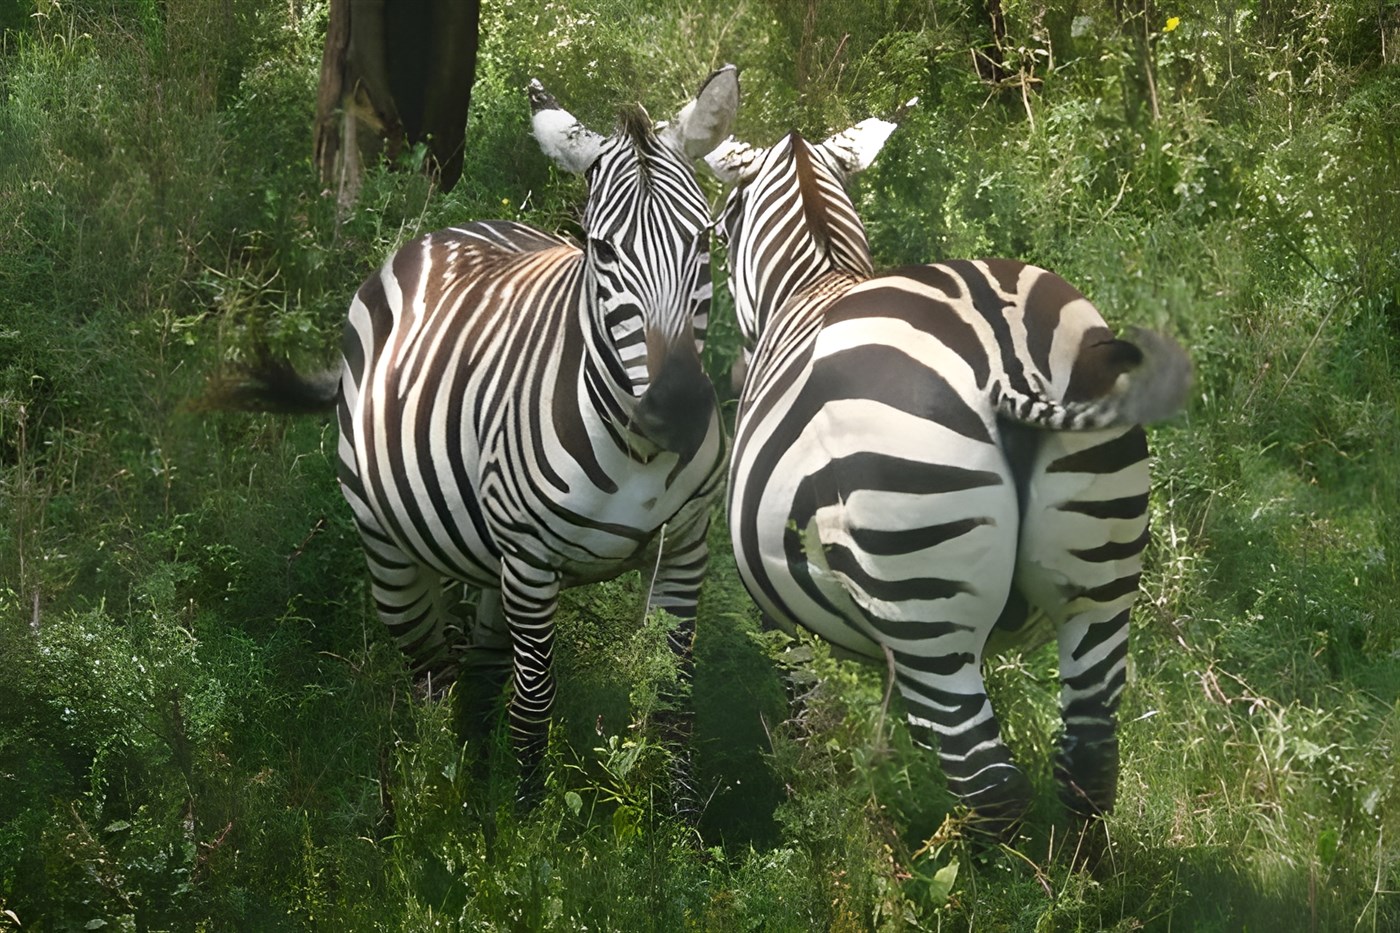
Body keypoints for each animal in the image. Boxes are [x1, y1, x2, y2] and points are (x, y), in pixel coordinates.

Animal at [218, 69, 739, 801]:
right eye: (602, 249)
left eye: (704, 240)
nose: (679, 410)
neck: (637, 450)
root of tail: (452, 228)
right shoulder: (533, 559)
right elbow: (535, 705)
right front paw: (526, 826)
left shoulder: (684, 550)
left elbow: (673, 705)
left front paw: (676, 829)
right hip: (394, 552)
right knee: (434, 679)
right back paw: (435, 803)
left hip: (494, 566)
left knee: (482, 677)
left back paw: (472, 785)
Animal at [706, 112, 1191, 834]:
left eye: (725, 222)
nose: (735, 376)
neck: (813, 281)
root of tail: (1009, 358)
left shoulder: (782, 621)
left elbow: (812, 724)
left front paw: (826, 821)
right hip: (1100, 588)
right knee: (1089, 766)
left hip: (923, 601)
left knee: (990, 784)